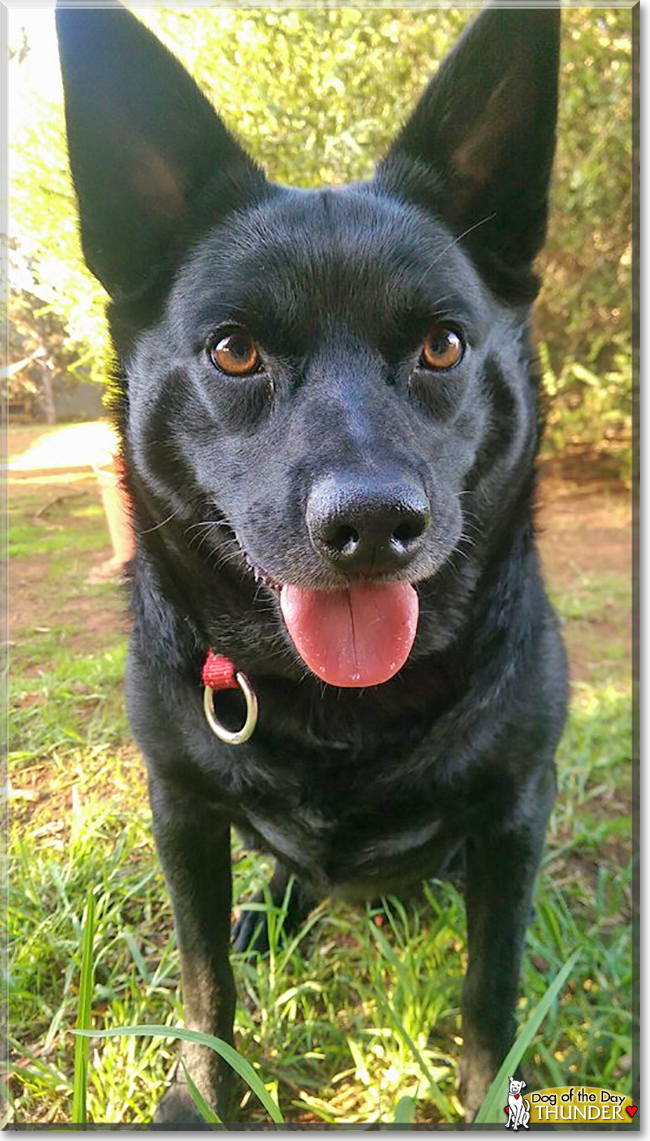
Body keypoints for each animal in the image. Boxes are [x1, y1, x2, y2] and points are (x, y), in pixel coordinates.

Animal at [57, 2, 565, 1122]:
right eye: (233, 350)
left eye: (443, 345)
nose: (372, 522)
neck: (341, 711)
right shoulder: (181, 814)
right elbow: (204, 982)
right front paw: (202, 1099)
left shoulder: (514, 818)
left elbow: (491, 988)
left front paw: (485, 1097)